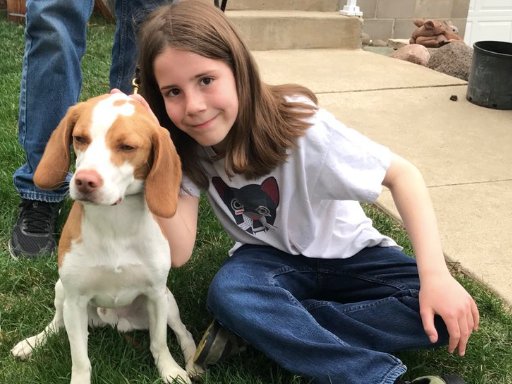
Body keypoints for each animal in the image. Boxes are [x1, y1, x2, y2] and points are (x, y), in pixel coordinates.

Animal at [11, 93, 201, 384]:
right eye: (79, 138)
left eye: (127, 146)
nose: (84, 181)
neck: (115, 222)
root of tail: (114, 321)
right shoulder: (75, 300)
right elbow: (80, 358)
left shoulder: (156, 295)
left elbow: (159, 343)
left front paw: (170, 371)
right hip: (61, 290)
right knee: (56, 323)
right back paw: (33, 342)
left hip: (168, 302)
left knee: (183, 332)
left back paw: (192, 361)